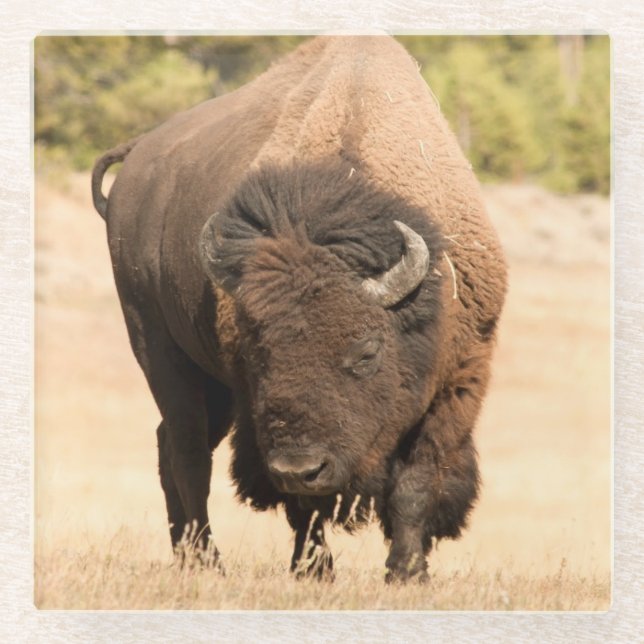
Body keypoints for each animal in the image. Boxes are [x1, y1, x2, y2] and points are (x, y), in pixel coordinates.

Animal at [92, 36, 507, 583]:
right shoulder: (258, 411)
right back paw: (207, 561)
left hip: (212, 387)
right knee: (187, 452)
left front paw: (407, 572)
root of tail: (137, 156)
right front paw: (315, 571)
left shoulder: (457, 383)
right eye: (259, 352)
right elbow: (303, 507)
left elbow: (416, 483)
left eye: (366, 352)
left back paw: (187, 556)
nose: (300, 467)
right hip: (158, 349)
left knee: (172, 446)